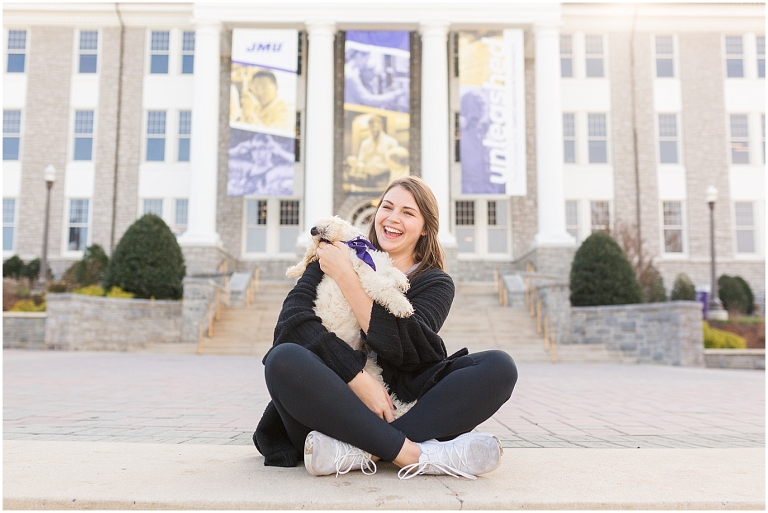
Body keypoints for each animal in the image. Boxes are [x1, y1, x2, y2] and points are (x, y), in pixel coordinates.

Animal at [284, 215, 414, 416]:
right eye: (317, 244)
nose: (313, 230)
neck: (352, 246)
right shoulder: (367, 277)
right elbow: (385, 289)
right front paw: (403, 306)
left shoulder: (378, 263)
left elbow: (391, 271)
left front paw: (401, 280)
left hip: (372, 370)